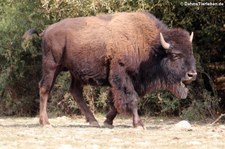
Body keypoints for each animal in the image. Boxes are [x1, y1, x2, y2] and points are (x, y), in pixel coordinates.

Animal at [23, 11, 197, 128]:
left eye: (191, 52)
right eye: (175, 55)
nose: (192, 74)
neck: (150, 46)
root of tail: (47, 30)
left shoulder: (135, 80)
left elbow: (117, 102)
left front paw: (108, 122)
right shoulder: (121, 75)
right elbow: (132, 98)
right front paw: (139, 124)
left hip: (75, 73)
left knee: (75, 91)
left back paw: (93, 121)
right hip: (52, 66)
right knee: (44, 88)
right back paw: (45, 122)